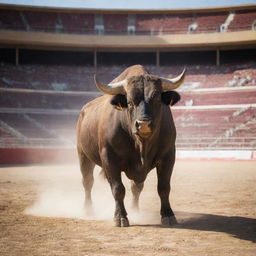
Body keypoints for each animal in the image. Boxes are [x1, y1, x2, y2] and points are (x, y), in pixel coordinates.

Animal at [76, 65, 186, 227]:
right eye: (129, 102)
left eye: (157, 99)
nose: (143, 124)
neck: (141, 145)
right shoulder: (109, 159)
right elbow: (118, 189)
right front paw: (120, 217)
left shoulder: (168, 156)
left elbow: (164, 187)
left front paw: (168, 215)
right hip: (84, 156)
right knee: (87, 182)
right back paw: (88, 210)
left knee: (136, 188)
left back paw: (135, 210)